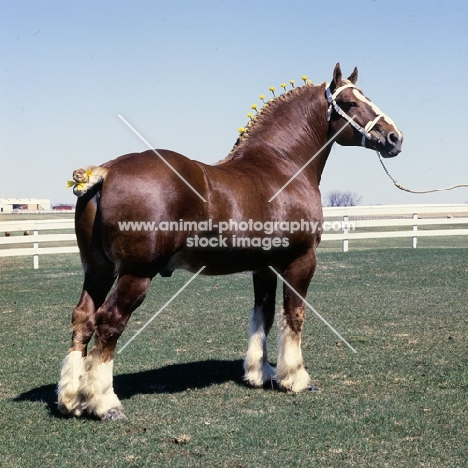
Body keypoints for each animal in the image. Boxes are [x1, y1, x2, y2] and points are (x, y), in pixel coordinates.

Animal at [57, 63, 402, 420]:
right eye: (349, 103)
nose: (394, 137)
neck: (282, 166)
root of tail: (106, 171)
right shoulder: (301, 260)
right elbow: (294, 315)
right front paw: (296, 378)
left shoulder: (264, 266)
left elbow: (263, 315)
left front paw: (260, 373)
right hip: (135, 275)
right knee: (109, 322)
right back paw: (104, 402)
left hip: (98, 270)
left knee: (83, 319)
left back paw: (71, 399)